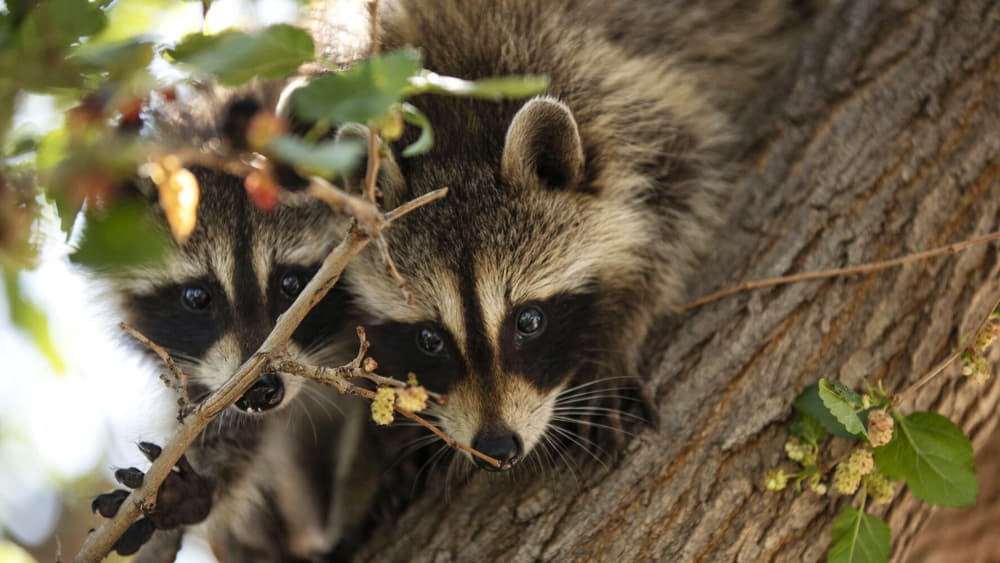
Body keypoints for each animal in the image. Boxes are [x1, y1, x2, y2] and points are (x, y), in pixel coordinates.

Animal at [340, 0, 808, 472]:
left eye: (529, 320)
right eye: (429, 339)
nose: (497, 449)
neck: (458, 132)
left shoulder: (614, 91)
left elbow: (676, 206)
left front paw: (617, 332)